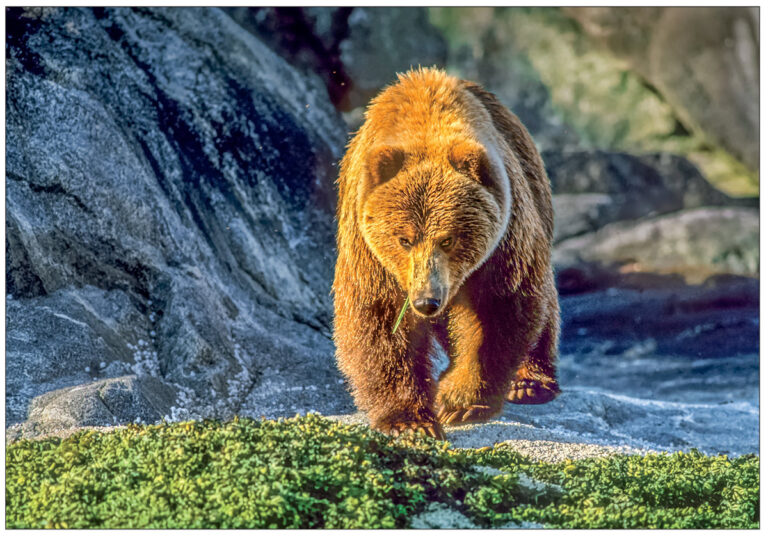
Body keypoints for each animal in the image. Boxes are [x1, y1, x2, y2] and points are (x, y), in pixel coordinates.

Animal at [333, 68, 560, 440]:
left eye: (449, 240)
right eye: (404, 239)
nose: (427, 300)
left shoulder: (503, 239)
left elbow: (497, 311)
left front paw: (458, 401)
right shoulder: (369, 249)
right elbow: (381, 318)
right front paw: (409, 419)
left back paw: (530, 382)